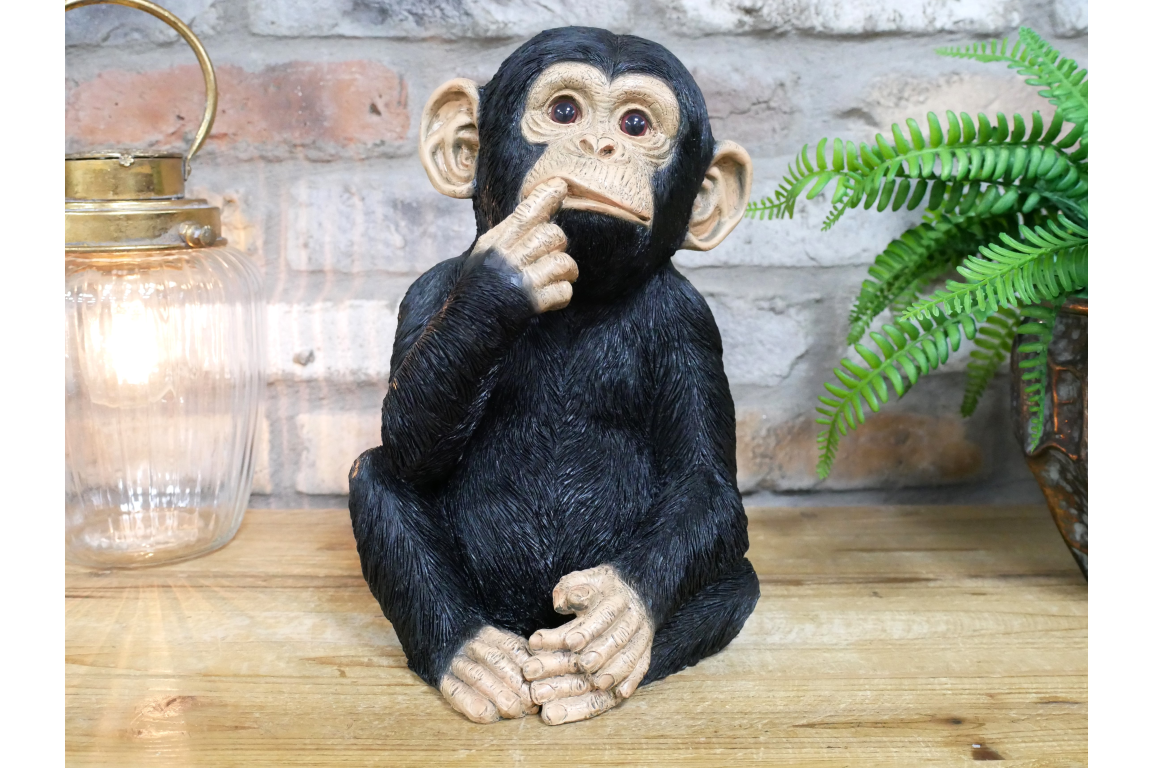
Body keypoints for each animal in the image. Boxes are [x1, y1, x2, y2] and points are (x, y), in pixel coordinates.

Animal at [349, 27, 757, 726]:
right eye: (565, 111)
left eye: (636, 123)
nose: (600, 143)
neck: (581, 303)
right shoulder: (427, 294)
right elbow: (407, 447)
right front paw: (505, 278)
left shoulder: (689, 322)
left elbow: (706, 484)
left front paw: (617, 613)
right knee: (375, 473)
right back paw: (473, 654)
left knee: (738, 585)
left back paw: (584, 673)